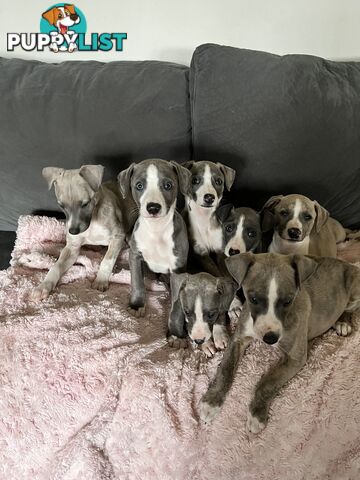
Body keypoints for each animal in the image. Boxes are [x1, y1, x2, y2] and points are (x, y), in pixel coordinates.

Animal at [29, 165, 136, 300]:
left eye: (85, 204)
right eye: (61, 205)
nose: (73, 231)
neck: (93, 220)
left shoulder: (117, 236)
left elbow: (107, 260)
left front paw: (101, 280)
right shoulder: (72, 248)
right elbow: (56, 266)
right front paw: (44, 285)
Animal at [117, 158, 191, 318]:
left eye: (168, 185)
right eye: (139, 185)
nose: (153, 208)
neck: (156, 229)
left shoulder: (177, 267)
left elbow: (177, 298)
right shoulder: (135, 256)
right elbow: (137, 282)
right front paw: (137, 305)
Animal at [200, 253, 360, 434]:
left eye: (288, 301)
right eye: (253, 299)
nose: (270, 339)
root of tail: (347, 263)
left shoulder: (296, 358)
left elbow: (268, 382)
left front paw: (257, 414)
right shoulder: (238, 340)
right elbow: (225, 370)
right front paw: (211, 401)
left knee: (350, 308)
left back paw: (343, 322)